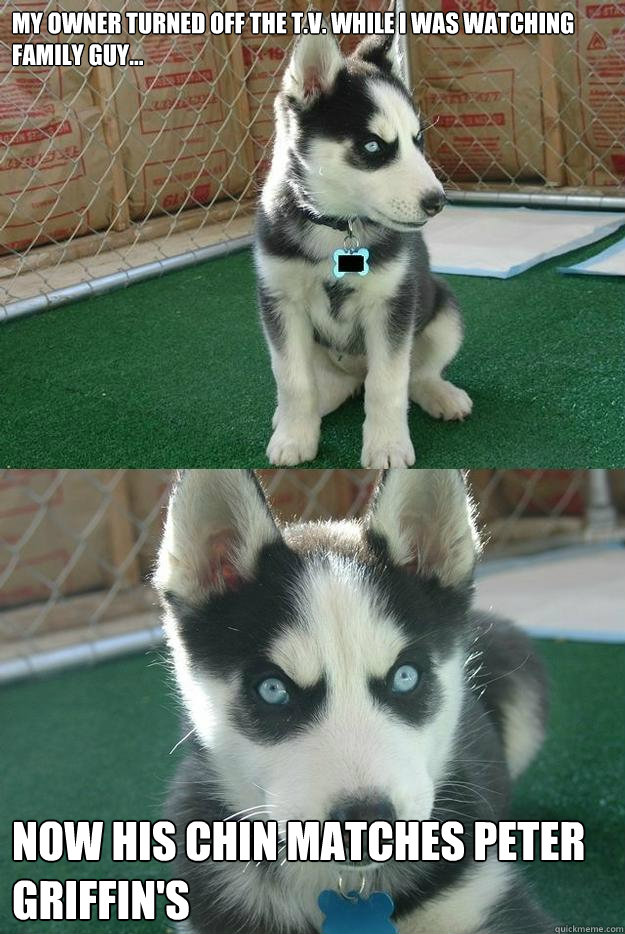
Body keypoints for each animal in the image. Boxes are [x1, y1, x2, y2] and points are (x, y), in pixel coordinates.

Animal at [256, 33, 470, 472]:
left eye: (417, 141)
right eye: (373, 146)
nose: (437, 202)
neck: (337, 226)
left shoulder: (392, 304)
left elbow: (387, 383)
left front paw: (387, 446)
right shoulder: (280, 302)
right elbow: (292, 379)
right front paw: (293, 437)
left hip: (444, 312)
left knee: (415, 375)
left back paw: (441, 394)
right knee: (329, 384)